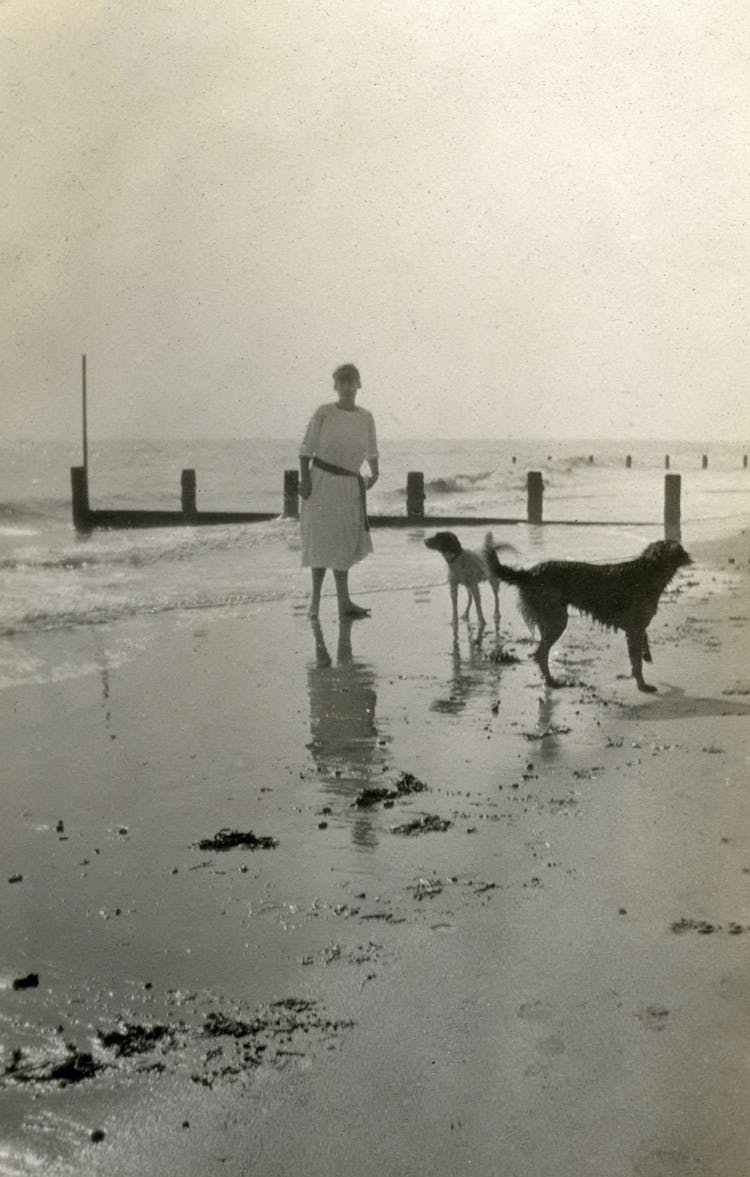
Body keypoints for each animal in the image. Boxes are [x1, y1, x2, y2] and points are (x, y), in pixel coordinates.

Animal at [482, 539, 692, 692]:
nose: (687, 554)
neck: (648, 572)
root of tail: (529, 574)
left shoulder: (637, 628)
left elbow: (641, 650)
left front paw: (646, 655)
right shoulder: (635, 628)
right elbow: (636, 663)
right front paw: (642, 685)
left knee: (540, 653)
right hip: (557, 620)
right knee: (540, 653)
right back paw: (551, 681)